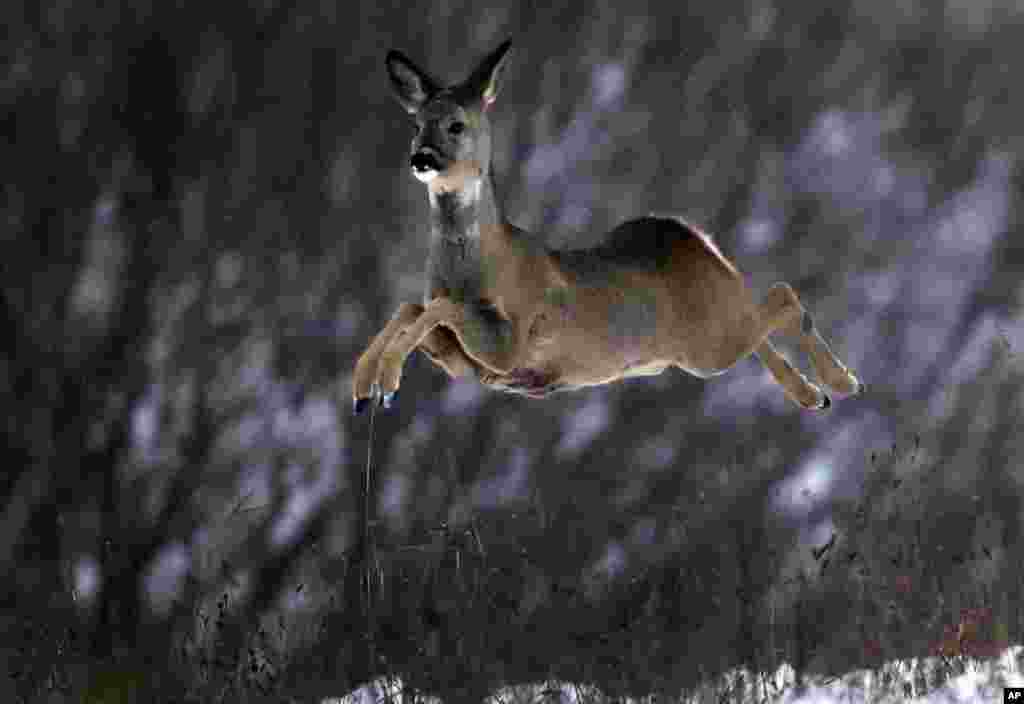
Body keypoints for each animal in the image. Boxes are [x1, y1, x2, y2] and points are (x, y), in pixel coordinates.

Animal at [352, 39, 864, 413]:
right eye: (416, 125)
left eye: (456, 125)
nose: (421, 158)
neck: (478, 263)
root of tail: (695, 237)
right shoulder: (468, 365)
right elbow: (411, 309)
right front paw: (366, 386)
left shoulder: (512, 343)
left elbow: (439, 308)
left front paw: (382, 382)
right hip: (706, 342)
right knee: (765, 315)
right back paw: (812, 395)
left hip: (708, 343)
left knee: (782, 296)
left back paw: (842, 382)